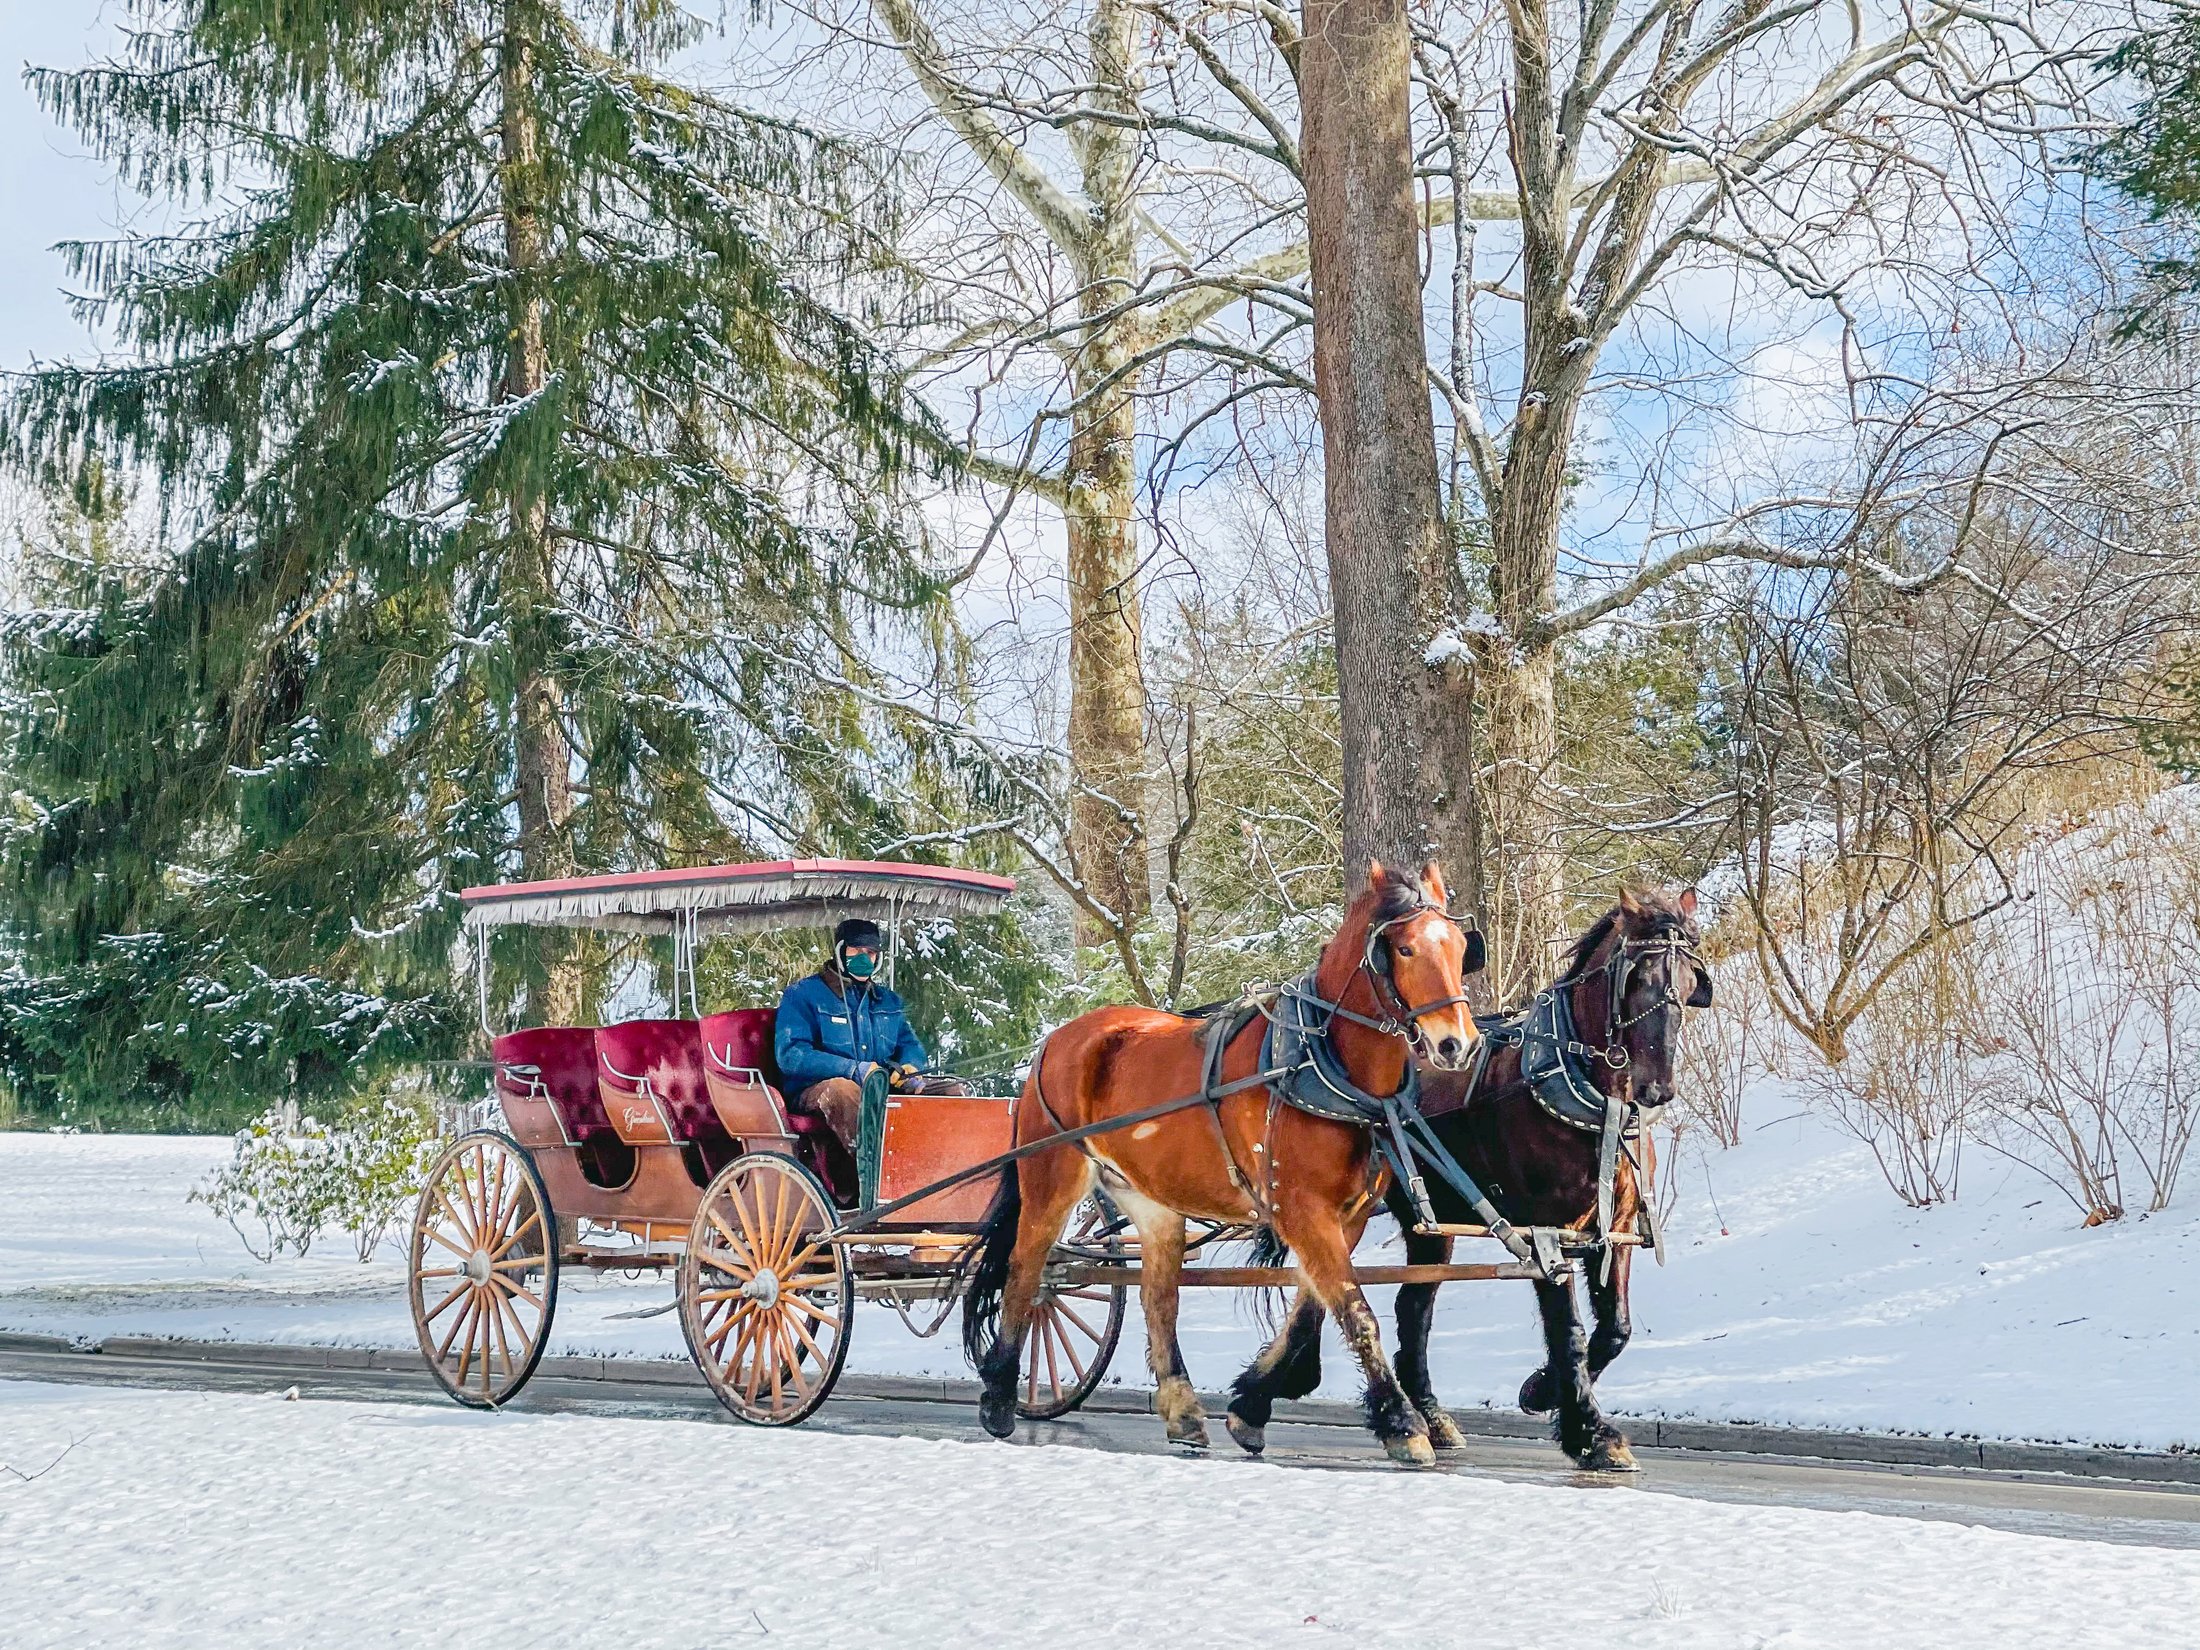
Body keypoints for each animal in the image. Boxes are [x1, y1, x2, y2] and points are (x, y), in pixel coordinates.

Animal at [963, 866, 1478, 1460]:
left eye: (1460, 945)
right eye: (1404, 947)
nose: (1457, 1044)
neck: (1325, 1065)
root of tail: (1056, 1040)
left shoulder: (1344, 1219)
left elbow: (1309, 1313)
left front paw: (1250, 1405)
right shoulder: (1302, 1210)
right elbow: (1357, 1314)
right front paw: (1401, 1424)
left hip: (1151, 1199)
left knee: (1158, 1298)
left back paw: (1184, 1411)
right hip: (1052, 1177)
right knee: (1026, 1273)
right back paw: (999, 1399)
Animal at [1232, 893, 1707, 1469]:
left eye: (1690, 981)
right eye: (1635, 976)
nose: (1656, 1087)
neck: (1594, 1103)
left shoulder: (1614, 1227)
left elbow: (1615, 1329)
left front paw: (1543, 1391)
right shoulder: (1546, 1230)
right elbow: (1568, 1330)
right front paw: (1590, 1430)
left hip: (1423, 1222)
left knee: (1407, 1308)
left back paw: (1418, 1415)